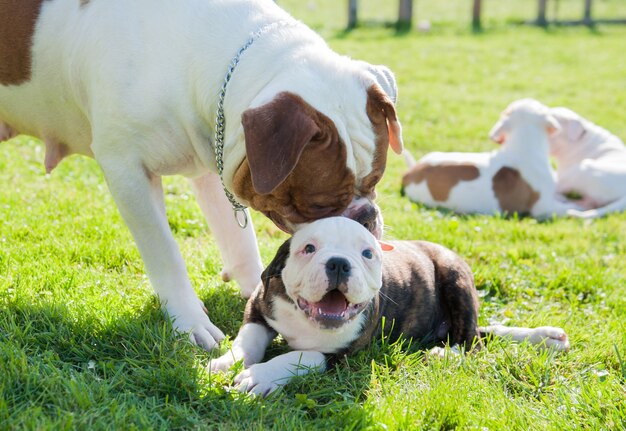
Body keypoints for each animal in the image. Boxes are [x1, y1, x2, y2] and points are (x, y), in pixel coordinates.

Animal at [0, 0, 400, 352]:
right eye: (317, 206)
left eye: (376, 182)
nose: (366, 216)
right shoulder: (127, 169)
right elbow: (165, 252)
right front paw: (191, 323)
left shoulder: (217, 161)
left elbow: (239, 240)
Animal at [208, 219, 564, 398]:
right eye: (308, 248)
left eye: (367, 254)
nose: (339, 263)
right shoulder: (258, 308)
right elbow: (248, 340)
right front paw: (227, 362)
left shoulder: (342, 355)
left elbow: (300, 357)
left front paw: (260, 376)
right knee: (482, 333)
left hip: (455, 278)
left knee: (472, 341)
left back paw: (445, 353)